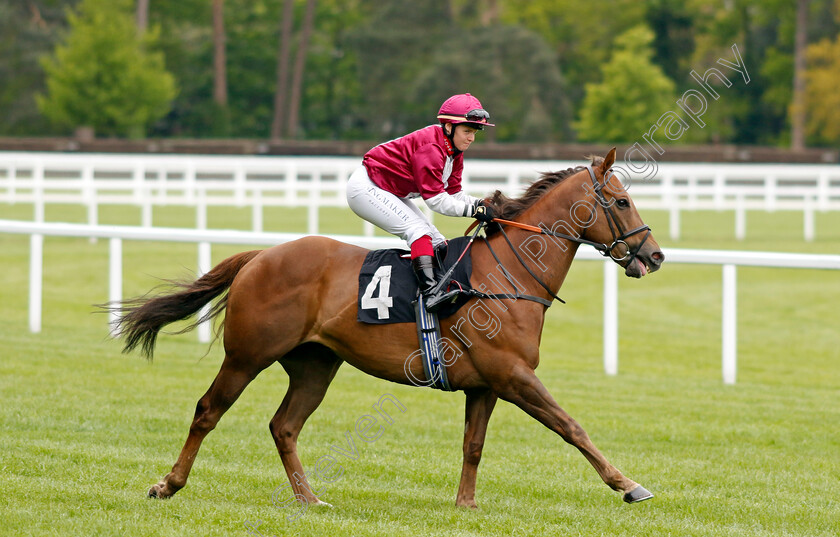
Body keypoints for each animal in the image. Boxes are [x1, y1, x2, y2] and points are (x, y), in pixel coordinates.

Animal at [111, 149, 664, 508]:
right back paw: (168, 485)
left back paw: (310, 499)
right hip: (247, 355)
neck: (508, 274)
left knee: (284, 426)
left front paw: (465, 506)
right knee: (208, 411)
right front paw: (628, 485)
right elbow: (572, 427)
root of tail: (261, 255)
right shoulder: (513, 376)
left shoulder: (487, 384)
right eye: (621, 202)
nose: (655, 255)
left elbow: (474, 445)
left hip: (315, 364)